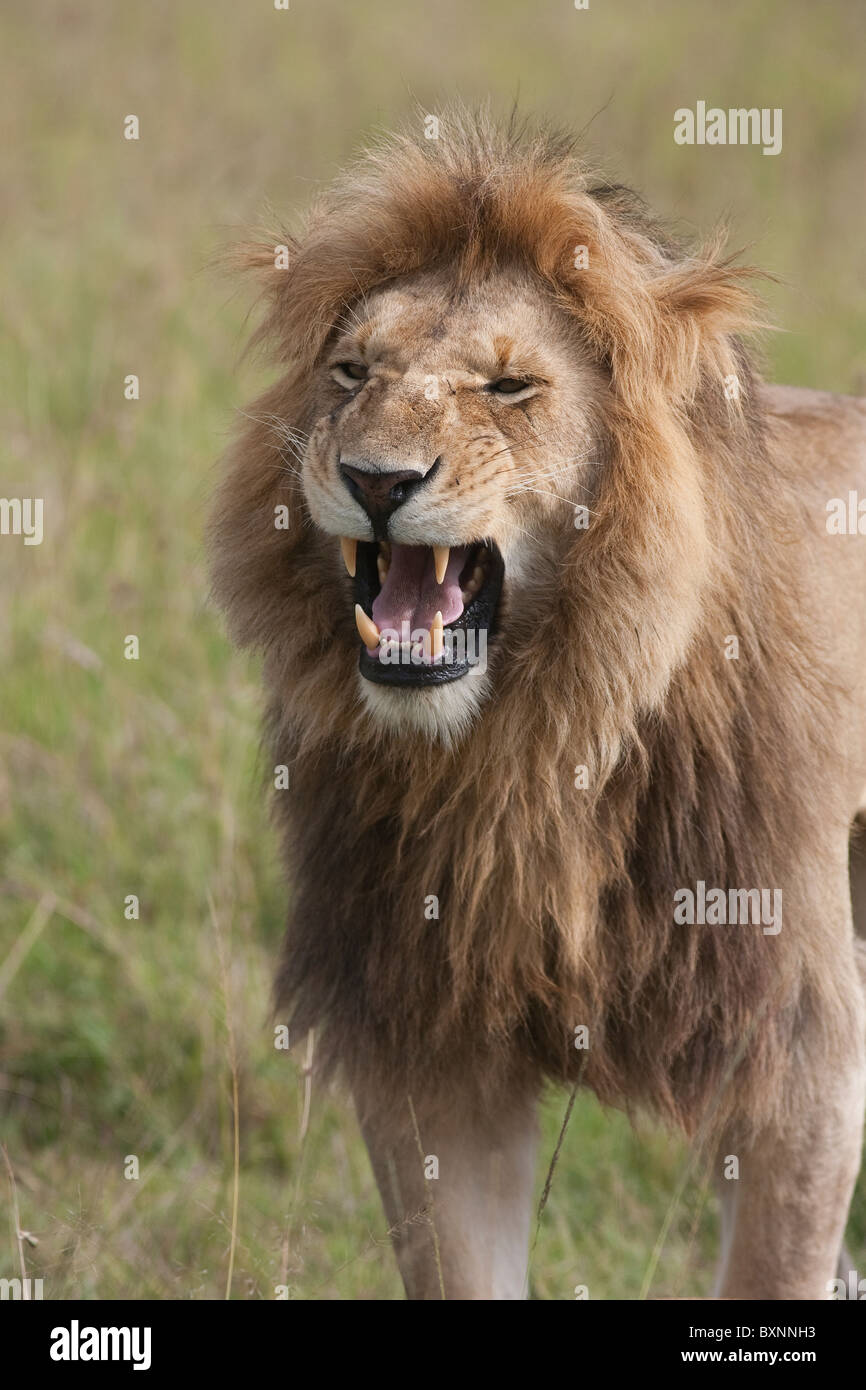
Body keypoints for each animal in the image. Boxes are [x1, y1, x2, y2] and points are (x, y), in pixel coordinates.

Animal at [209, 108, 866, 1301]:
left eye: (509, 389)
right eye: (351, 369)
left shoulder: (794, 1055)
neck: (530, 742)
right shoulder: (426, 1041)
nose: (377, 480)